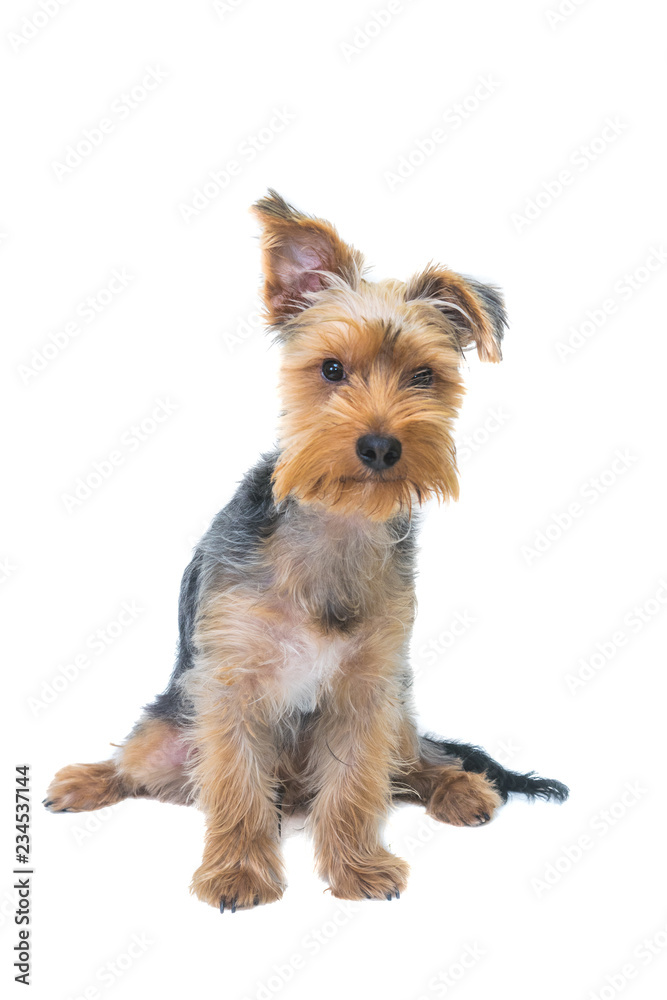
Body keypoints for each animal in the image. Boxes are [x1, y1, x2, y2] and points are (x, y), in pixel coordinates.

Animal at [45, 191, 568, 912]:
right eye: (331, 370)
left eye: (423, 376)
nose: (380, 446)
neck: (337, 525)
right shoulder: (229, 684)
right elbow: (236, 783)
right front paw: (238, 872)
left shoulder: (368, 690)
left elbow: (353, 785)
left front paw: (357, 867)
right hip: (169, 729)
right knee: (139, 762)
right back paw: (87, 780)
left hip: (397, 711)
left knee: (414, 760)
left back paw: (459, 786)